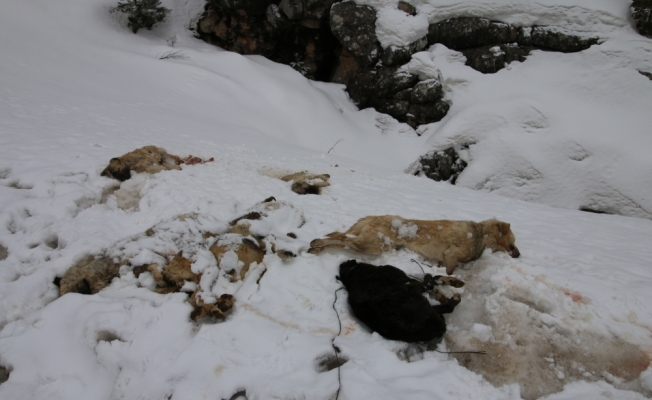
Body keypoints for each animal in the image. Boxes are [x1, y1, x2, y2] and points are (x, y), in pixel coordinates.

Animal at [310, 216, 520, 276]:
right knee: (341, 239)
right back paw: (316, 244)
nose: (519, 254)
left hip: (370, 244)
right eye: (514, 240)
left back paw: (318, 246)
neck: (480, 235)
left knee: (339, 237)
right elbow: (451, 270)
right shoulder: (451, 255)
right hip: (372, 244)